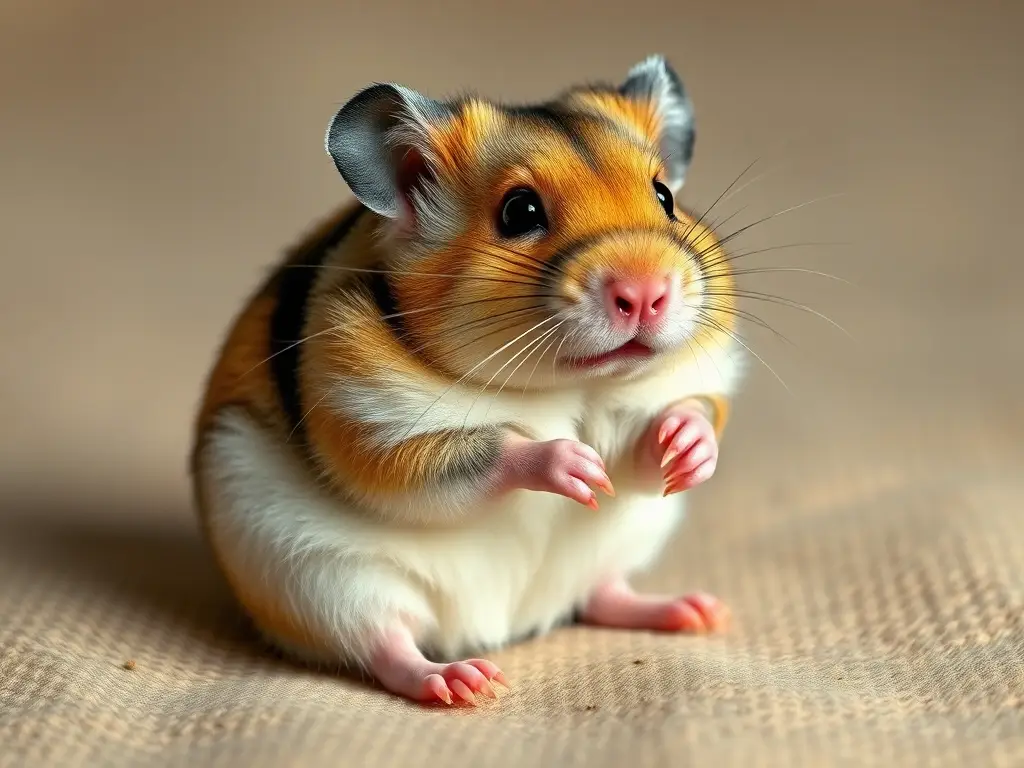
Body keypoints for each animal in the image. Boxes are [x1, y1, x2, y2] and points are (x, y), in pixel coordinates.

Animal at [190, 54, 745, 706]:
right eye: (519, 212)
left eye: (664, 196)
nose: (646, 292)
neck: (563, 387)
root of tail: (501, 624)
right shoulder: (370, 426)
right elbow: (484, 453)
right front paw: (579, 466)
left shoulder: (669, 400)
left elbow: (673, 425)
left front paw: (684, 449)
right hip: (320, 577)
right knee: (387, 644)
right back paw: (464, 683)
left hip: (627, 538)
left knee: (602, 592)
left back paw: (697, 612)